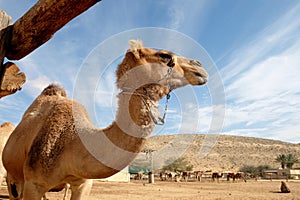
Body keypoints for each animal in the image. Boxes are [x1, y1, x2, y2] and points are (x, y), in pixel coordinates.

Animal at [2, 39, 209, 199]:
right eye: (165, 56)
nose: (200, 66)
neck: (70, 142)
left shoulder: (83, 184)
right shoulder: (34, 184)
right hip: (13, 179)